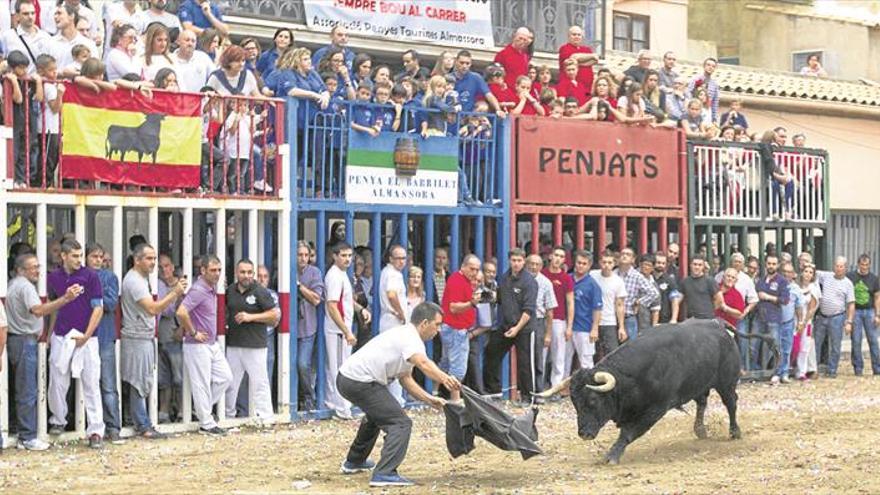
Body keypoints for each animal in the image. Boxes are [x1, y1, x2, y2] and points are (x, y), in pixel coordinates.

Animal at [540, 320, 744, 464]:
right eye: (574, 402)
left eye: (592, 400)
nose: (583, 433)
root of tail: (718, 324)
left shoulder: (655, 410)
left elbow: (628, 432)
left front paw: (611, 455)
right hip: (699, 383)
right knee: (702, 402)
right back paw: (700, 430)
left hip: (726, 383)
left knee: (731, 403)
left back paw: (735, 432)